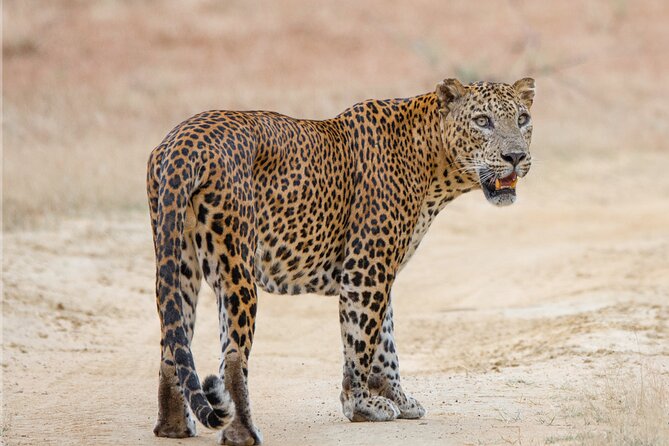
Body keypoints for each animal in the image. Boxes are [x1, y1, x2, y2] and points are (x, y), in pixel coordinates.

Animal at [146, 77, 535, 445]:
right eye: (482, 121)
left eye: (522, 119)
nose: (516, 156)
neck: (434, 162)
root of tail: (183, 142)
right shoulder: (368, 267)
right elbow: (362, 336)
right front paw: (360, 405)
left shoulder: (378, 267)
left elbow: (385, 340)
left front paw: (398, 399)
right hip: (235, 263)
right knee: (232, 354)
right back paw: (242, 432)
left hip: (179, 259)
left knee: (172, 339)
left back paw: (173, 426)